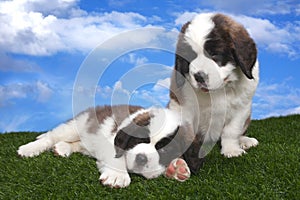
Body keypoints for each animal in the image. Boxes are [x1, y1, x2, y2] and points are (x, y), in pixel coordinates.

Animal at [17, 105, 192, 188]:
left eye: (165, 149)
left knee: (76, 145)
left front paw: (177, 168)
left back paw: (62, 148)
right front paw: (117, 175)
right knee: (51, 136)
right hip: (75, 127)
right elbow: (117, 156)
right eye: (139, 139)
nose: (141, 158)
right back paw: (29, 148)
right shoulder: (112, 139)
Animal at [169, 12, 260, 172]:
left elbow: (231, 130)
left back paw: (245, 140)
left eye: (215, 55)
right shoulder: (184, 109)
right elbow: (187, 134)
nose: (199, 76)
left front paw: (232, 150)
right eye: (189, 57)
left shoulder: (242, 108)